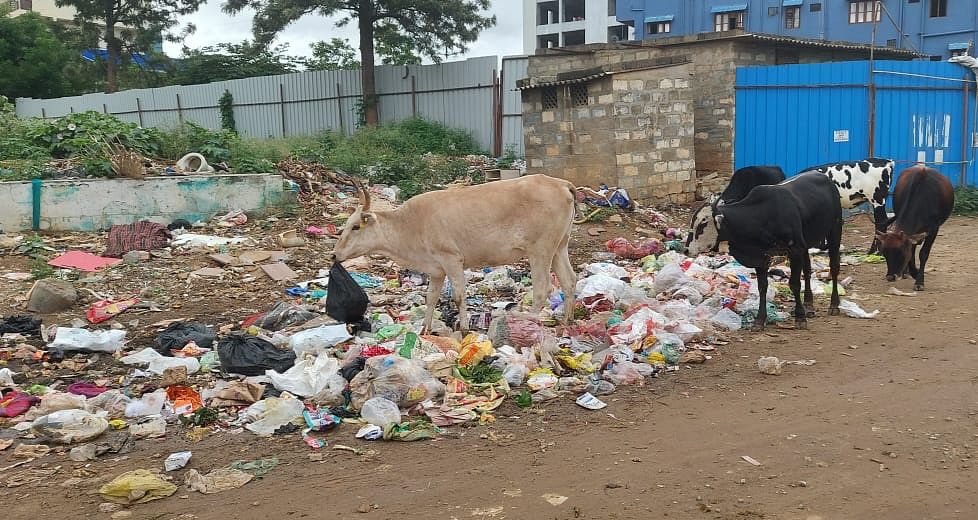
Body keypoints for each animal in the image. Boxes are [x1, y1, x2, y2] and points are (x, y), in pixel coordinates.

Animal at [334, 173, 576, 332]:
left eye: (355, 226)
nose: (334, 255)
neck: (411, 224)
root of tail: (560, 183)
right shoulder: (436, 270)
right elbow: (431, 298)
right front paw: (425, 329)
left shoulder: (451, 259)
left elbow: (459, 296)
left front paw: (465, 329)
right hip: (559, 247)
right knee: (569, 281)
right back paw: (566, 322)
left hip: (540, 250)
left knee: (542, 289)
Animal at [688, 173, 840, 332]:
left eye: (703, 223)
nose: (687, 249)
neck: (763, 215)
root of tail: (823, 177)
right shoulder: (760, 256)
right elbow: (762, 287)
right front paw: (760, 320)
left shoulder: (795, 249)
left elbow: (794, 284)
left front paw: (800, 317)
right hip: (806, 244)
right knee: (808, 270)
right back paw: (809, 306)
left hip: (834, 230)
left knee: (834, 267)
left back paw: (834, 305)